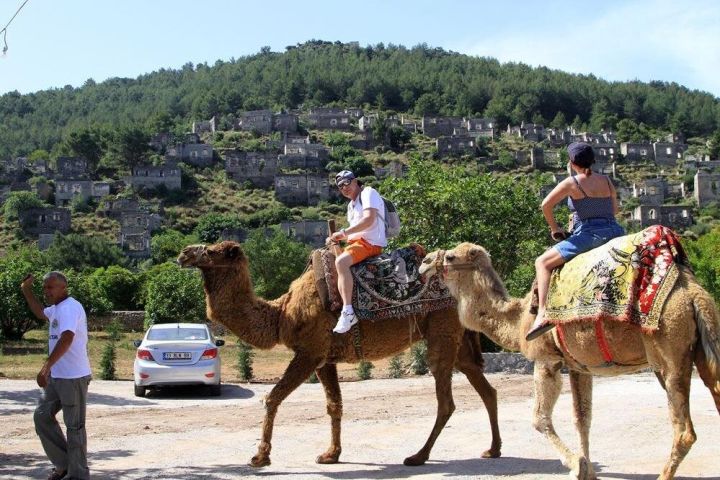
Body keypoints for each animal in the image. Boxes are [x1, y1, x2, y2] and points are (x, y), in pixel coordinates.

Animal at [177, 241, 502, 468]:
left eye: (212, 251)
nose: (183, 254)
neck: (282, 314)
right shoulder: (325, 359)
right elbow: (334, 405)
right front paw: (331, 454)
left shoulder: (308, 352)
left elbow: (272, 398)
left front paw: (260, 457)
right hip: (458, 340)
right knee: (486, 389)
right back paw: (493, 449)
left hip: (441, 332)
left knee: (446, 400)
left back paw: (418, 456)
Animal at [419, 243, 720, 480]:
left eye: (450, 257)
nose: (424, 263)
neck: (519, 320)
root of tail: (694, 295)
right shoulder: (579, 367)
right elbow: (582, 418)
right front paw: (587, 470)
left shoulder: (546, 360)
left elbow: (539, 419)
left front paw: (576, 465)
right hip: (702, 348)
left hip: (669, 353)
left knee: (684, 430)